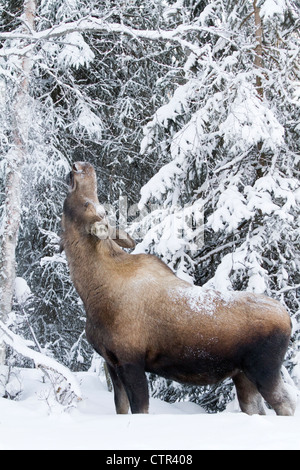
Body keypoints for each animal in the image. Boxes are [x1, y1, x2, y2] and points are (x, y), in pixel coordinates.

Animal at [60, 161, 296, 414]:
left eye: (91, 205)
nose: (82, 166)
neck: (92, 292)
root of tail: (289, 320)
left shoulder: (131, 361)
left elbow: (140, 409)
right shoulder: (111, 362)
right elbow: (121, 409)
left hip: (264, 368)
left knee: (286, 405)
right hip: (243, 375)